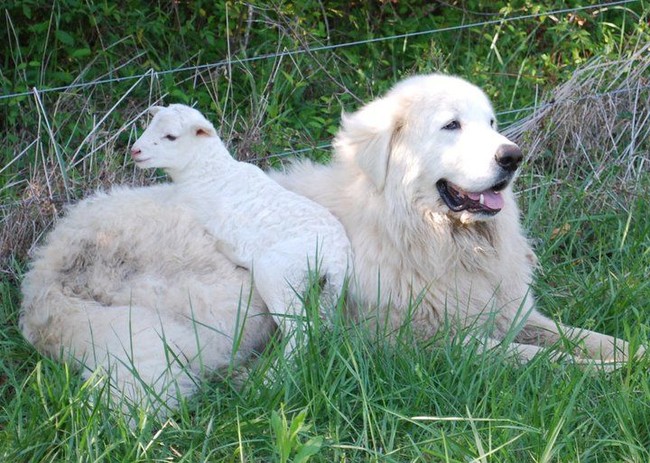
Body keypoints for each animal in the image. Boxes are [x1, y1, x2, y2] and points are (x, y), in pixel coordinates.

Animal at [131, 103, 352, 354]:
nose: (135, 151)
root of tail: (338, 257)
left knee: (299, 328)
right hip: (329, 289)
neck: (207, 171)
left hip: (279, 274)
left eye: (171, 137)